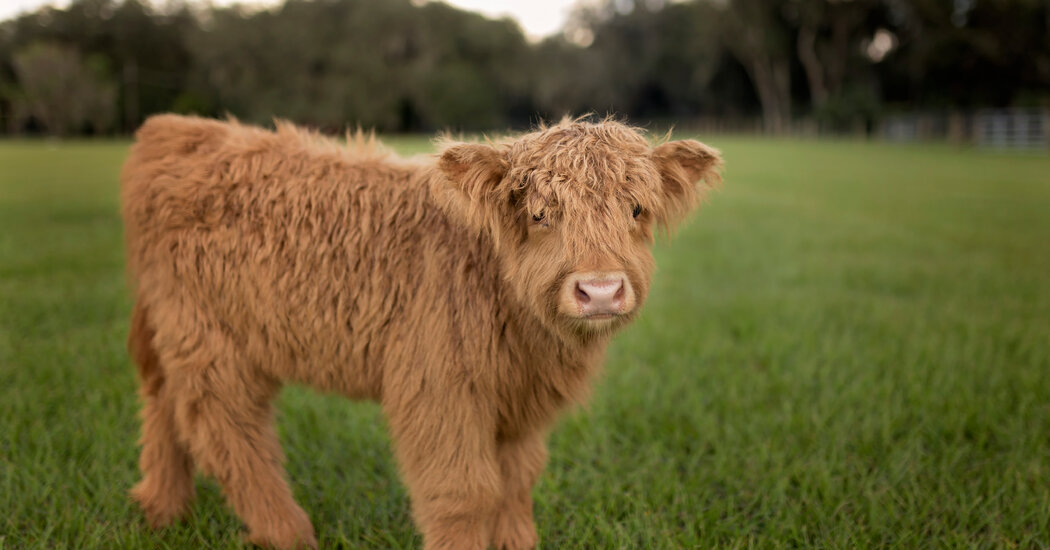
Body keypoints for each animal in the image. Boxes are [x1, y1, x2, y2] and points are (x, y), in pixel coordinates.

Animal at [120, 113, 722, 545]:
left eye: (637, 209)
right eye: (539, 213)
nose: (599, 290)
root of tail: (178, 128)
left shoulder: (518, 404)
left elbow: (516, 484)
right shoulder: (439, 388)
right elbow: (464, 493)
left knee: (164, 400)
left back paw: (163, 509)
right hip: (207, 337)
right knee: (225, 427)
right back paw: (286, 533)